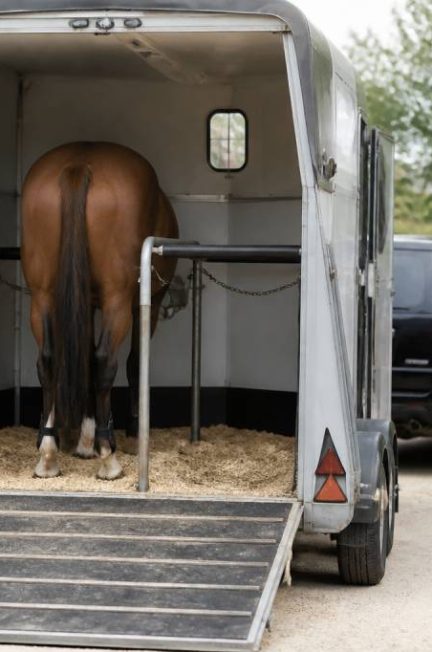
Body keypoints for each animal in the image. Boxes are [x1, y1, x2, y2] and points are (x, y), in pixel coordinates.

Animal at [21, 142, 178, 480]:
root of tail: (80, 163)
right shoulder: (146, 305)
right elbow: (133, 364)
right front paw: (124, 437)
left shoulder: (84, 303)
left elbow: (83, 357)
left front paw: (84, 440)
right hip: (116, 301)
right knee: (106, 360)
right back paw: (109, 458)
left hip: (42, 296)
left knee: (48, 361)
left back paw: (48, 454)